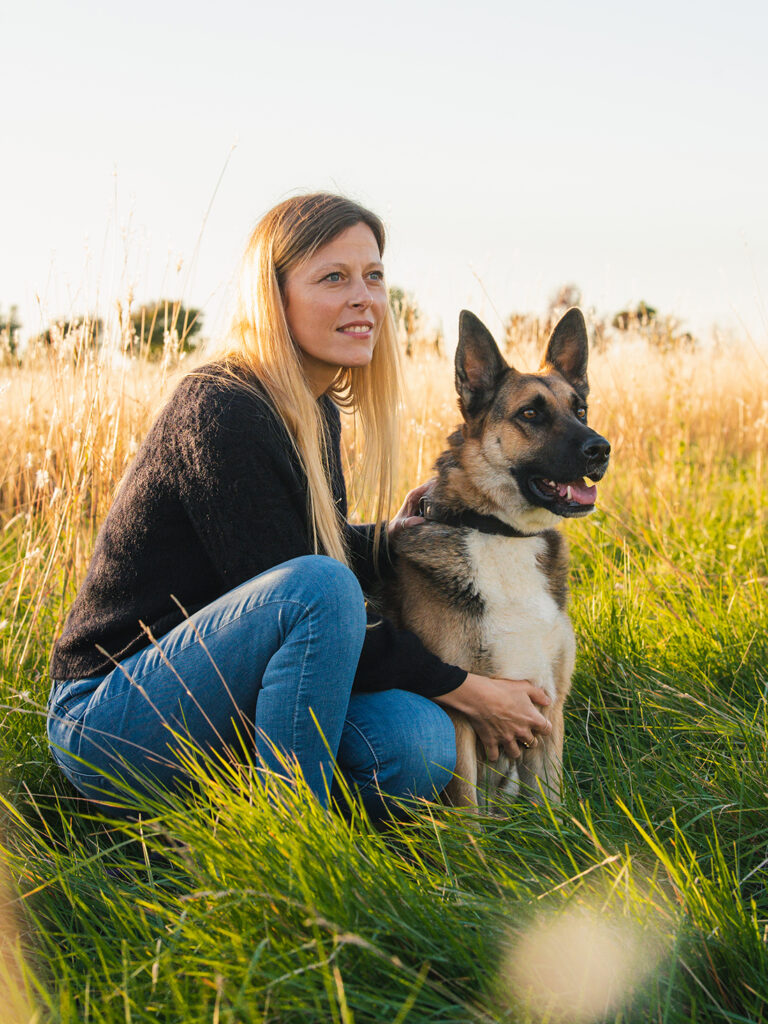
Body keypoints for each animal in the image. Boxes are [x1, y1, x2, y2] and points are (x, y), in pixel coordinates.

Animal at [387, 307, 610, 802]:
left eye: (580, 410)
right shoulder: (461, 720)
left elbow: (552, 804)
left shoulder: (549, 707)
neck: (504, 533)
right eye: (530, 413)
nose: (602, 449)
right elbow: (467, 811)